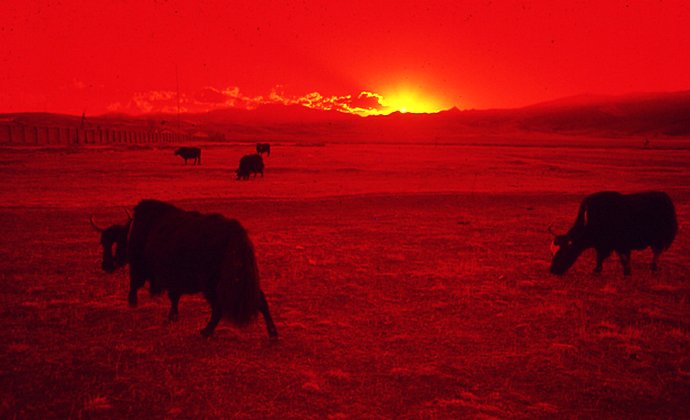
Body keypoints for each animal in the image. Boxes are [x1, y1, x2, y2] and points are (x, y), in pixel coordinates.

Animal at [91, 200, 276, 338]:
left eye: (112, 243)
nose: (105, 265)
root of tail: (236, 234)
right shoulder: (173, 280)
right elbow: (174, 297)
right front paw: (172, 317)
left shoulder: (141, 269)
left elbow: (135, 285)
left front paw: (133, 304)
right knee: (260, 299)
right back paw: (273, 332)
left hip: (211, 284)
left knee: (219, 307)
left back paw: (205, 332)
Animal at [548, 190, 676, 276]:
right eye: (552, 253)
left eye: (563, 252)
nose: (553, 270)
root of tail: (666, 198)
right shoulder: (608, 245)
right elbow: (605, 257)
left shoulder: (616, 244)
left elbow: (613, 257)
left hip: (658, 239)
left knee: (656, 252)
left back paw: (654, 267)